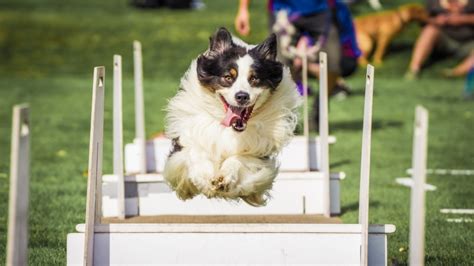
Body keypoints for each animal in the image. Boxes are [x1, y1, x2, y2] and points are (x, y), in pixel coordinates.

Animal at [163, 27, 300, 206]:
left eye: (254, 78)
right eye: (228, 77)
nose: (242, 96)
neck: (230, 128)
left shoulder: (259, 152)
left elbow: (240, 158)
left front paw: (224, 178)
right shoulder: (188, 137)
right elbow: (196, 153)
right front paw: (205, 180)